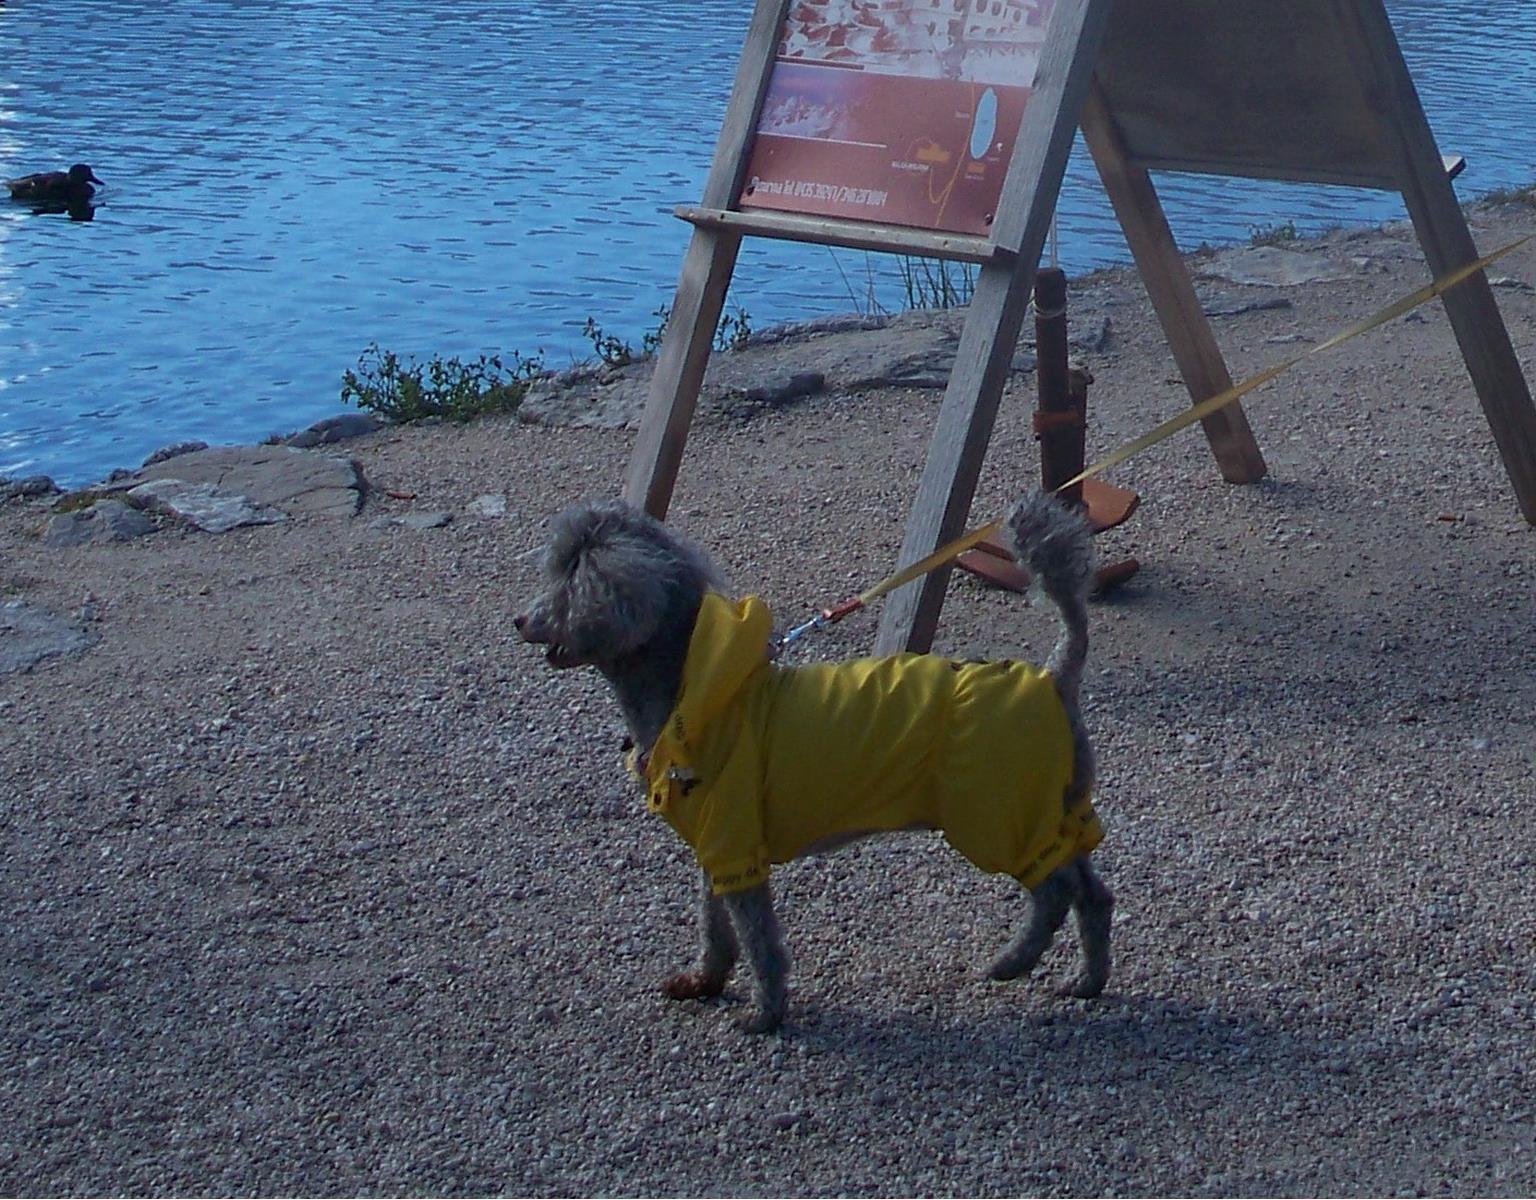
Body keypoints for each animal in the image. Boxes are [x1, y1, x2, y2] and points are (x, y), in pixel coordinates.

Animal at [514, 491, 1112, 1033]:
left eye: (567, 581)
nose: (519, 620)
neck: (695, 687)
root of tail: (1055, 675)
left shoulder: (736, 840)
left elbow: (758, 938)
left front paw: (766, 1013)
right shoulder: (716, 845)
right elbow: (716, 925)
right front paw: (705, 982)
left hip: (999, 816)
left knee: (1055, 893)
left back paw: (1015, 962)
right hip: (1052, 809)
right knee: (1092, 894)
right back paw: (1087, 980)